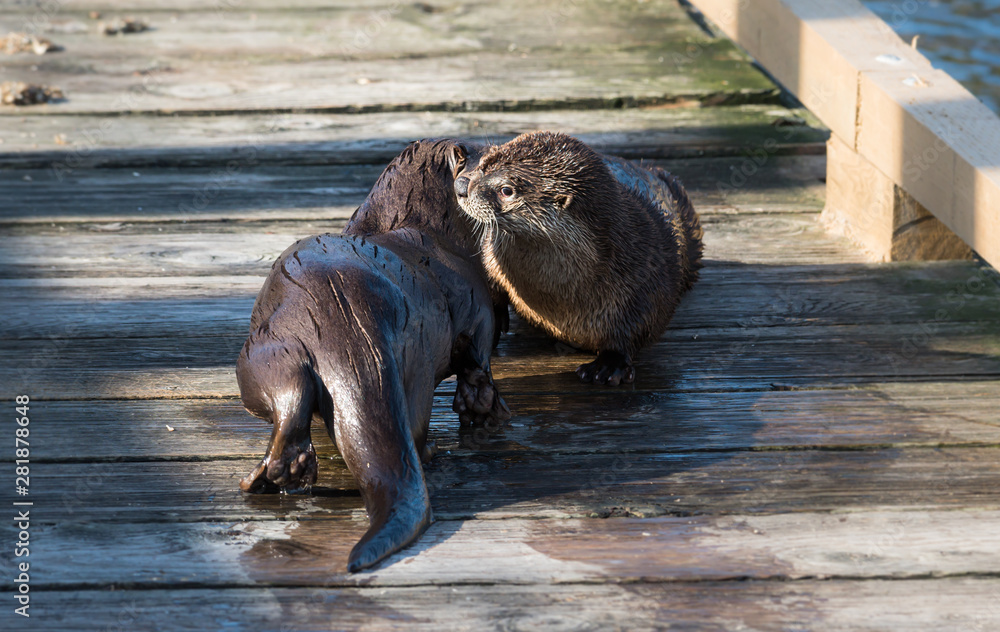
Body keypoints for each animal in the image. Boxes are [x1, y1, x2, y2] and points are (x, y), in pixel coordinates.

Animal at [238, 140, 510, 573]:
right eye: (489, 160)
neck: (433, 230)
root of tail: (344, 314)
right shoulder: (477, 302)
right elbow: (478, 354)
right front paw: (481, 405)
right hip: (415, 356)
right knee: (414, 426)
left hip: (265, 350)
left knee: (289, 393)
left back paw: (282, 473)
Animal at [454, 131, 703, 386]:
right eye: (483, 165)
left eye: (506, 190)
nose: (460, 186)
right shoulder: (490, 257)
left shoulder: (648, 278)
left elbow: (638, 327)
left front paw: (609, 366)